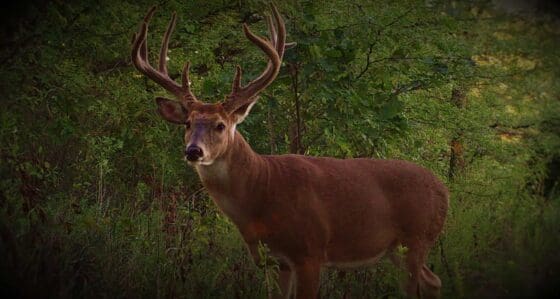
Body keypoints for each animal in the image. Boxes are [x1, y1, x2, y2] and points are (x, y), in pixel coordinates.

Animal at [132, 4, 450, 299]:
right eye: (187, 123)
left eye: (220, 125)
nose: (193, 151)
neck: (262, 192)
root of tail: (443, 189)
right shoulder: (272, 261)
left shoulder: (309, 251)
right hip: (396, 249)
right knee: (433, 281)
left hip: (417, 239)